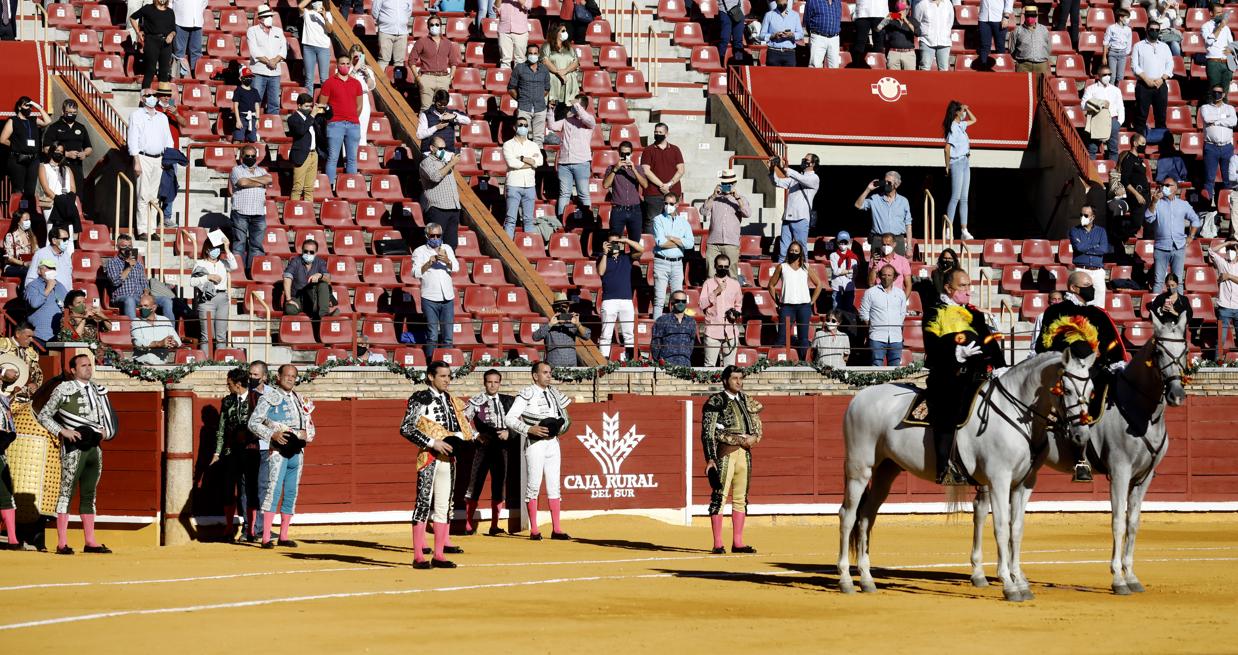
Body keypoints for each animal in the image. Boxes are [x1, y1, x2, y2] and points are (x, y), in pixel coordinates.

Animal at [836, 349, 1099, 599]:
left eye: (1092, 390)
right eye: (1066, 389)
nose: (1081, 435)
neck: (1014, 411)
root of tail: (861, 397)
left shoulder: (1024, 483)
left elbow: (1016, 529)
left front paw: (1021, 583)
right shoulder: (999, 480)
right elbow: (1001, 527)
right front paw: (1009, 585)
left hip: (886, 471)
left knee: (866, 516)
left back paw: (867, 580)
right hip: (860, 469)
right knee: (848, 515)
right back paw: (846, 580)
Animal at [970, 309, 1183, 594]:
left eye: (1184, 348)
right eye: (1159, 351)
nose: (1177, 394)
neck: (1139, 413)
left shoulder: (1144, 477)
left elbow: (1133, 523)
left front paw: (1131, 575)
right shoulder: (1120, 472)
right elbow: (1117, 521)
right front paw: (1118, 579)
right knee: (981, 510)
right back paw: (979, 573)